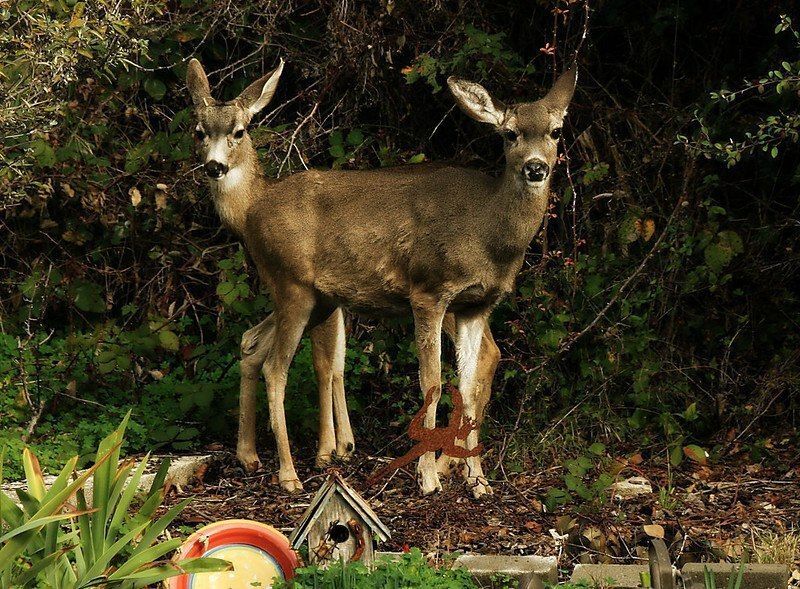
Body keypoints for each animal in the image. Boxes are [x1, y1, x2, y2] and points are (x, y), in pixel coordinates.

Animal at [186, 57, 576, 498]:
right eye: (510, 134)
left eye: (556, 131)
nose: (535, 167)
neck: (488, 231)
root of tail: (253, 216)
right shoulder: (428, 291)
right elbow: (430, 382)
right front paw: (426, 478)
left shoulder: (476, 305)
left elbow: (467, 386)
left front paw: (478, 482)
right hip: (293, 287)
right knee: (275, 365)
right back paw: (288, 474)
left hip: (311, 297)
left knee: (255, 343)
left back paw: (255, 457)